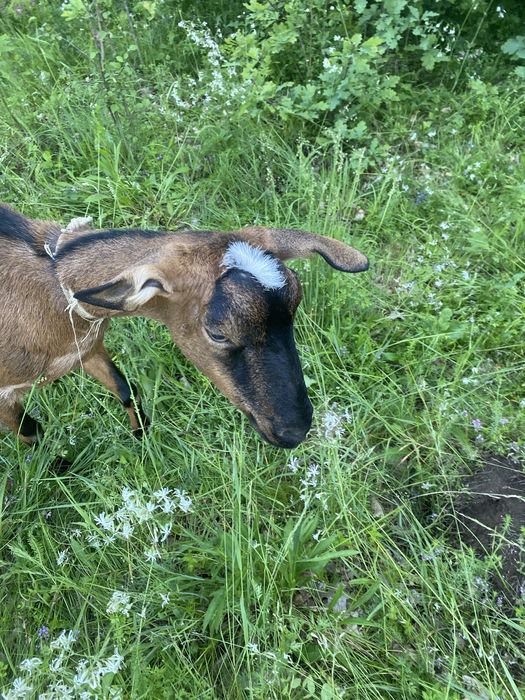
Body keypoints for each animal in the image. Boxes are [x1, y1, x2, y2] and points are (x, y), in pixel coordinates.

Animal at [0, 203, 368, 450]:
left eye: (295, 305)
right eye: (217, 332)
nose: (294, 432)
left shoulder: (87, 349)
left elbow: (125, 388)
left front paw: (143, 439)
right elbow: (31, 431)